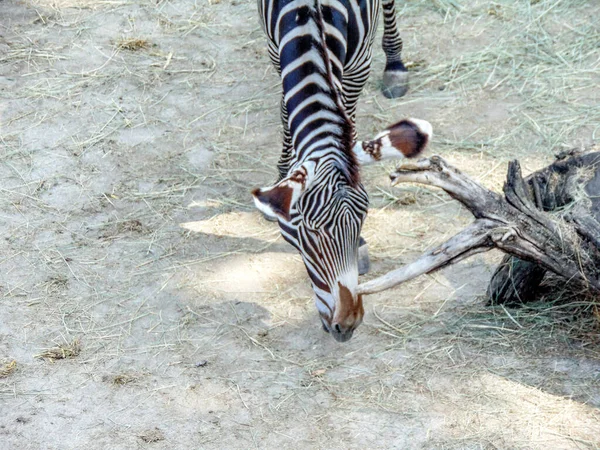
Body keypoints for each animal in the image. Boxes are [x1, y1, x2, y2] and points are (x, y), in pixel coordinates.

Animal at [253, 0, 432, 342]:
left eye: (362, 221)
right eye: (309, 231)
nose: (348, 325)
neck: (309, 14)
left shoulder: (358, 63)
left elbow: (345, 117)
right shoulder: (274, 48)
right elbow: (287, 111)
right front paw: (282, 172)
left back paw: (395, 66)